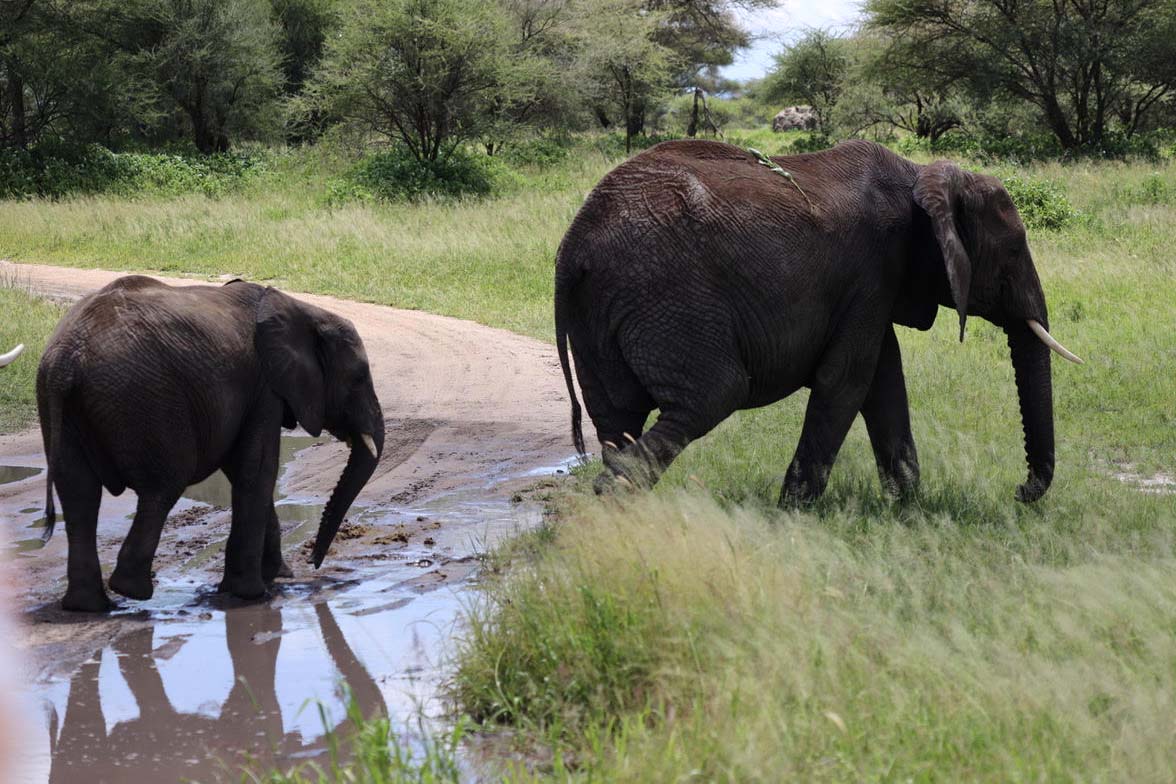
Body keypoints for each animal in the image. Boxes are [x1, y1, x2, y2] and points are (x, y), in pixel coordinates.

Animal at [35, 276, 385, 611]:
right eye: (358, 378)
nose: (313, 563)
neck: (303, 309)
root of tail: (67, 359)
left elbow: (243, 469)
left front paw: (275, 576)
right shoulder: (264, 388)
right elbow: (258, 469)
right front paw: (251, 594)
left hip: (62, 408)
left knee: (79, 495)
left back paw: (88, 606)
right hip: (147, 401)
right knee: (161, 488)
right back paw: (130, 590)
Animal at [555, 140, 1077, 505]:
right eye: (1014, 250)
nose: (1019, 492)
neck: (920, 176)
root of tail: (572, 247)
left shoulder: (874, 287)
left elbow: (884, 383)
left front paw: (909, 511)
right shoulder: (872, 270)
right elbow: (847, 381)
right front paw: (794, 516)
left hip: (601, 313)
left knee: (617, 416)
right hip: (669, 297)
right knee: (711, 396)